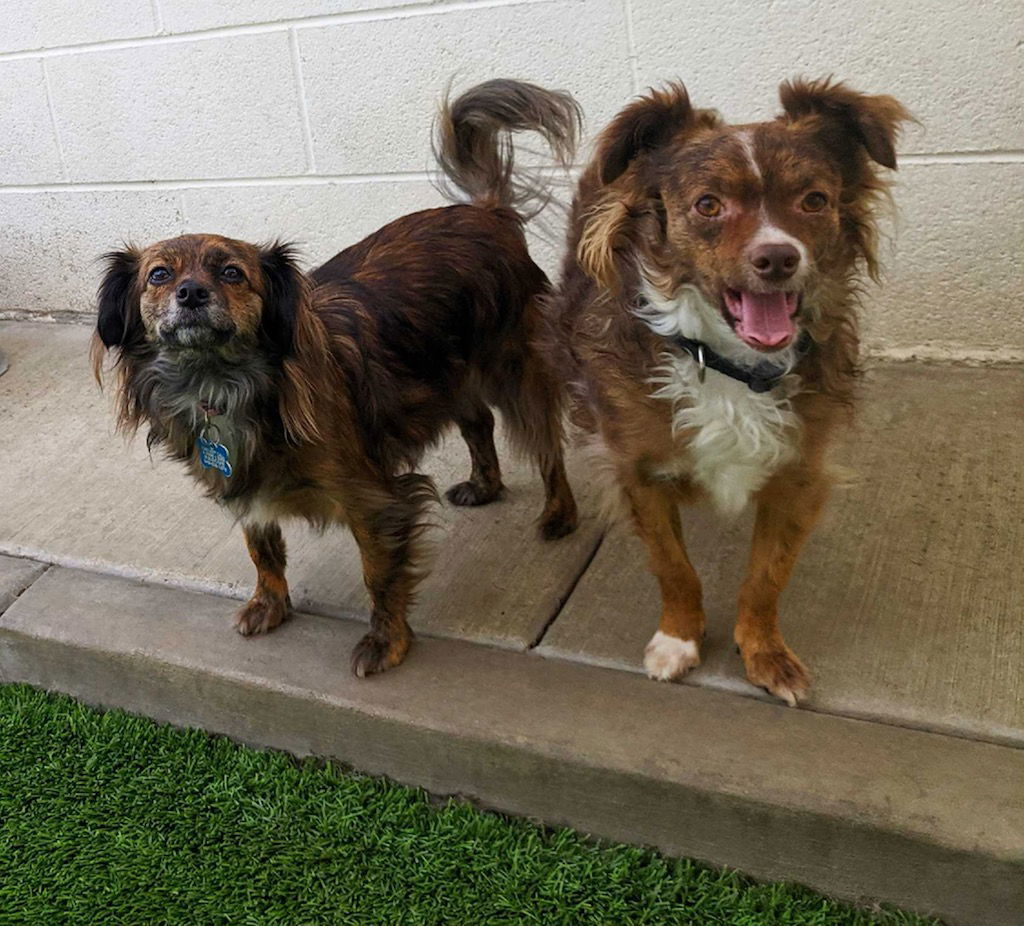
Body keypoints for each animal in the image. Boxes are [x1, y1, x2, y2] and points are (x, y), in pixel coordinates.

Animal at [94, 77, 585, 671]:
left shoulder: (373, 498)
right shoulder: (247, 489)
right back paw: (486, 485)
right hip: (447, 372)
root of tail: (486, 214)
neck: (222, 385)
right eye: (159, 276)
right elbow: (262, 549)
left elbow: (378, 573)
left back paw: (560, 514)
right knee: (477, 424)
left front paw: (387, 640)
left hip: (513, 368)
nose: (190, 293)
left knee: (545, 441)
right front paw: (270, 605)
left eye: (232, 274)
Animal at [548, 77, 909, 700]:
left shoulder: (799, 472)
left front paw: (764, 653)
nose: (778, 257)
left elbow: (766, 576)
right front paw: (679, 639)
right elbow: (673, 566)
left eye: (814, 200)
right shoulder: (639, 471)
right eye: (708, 205)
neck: (731, 368)